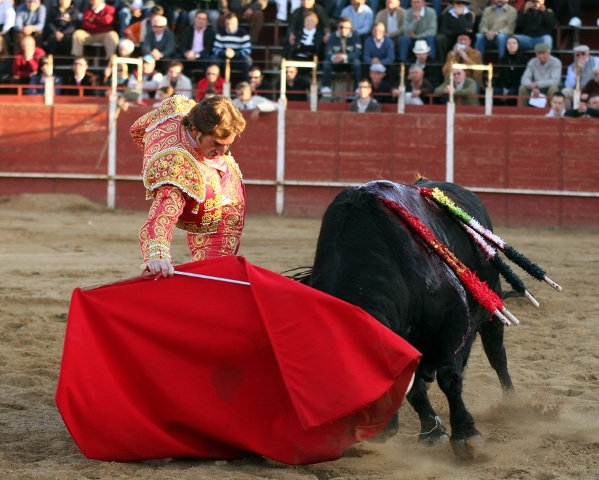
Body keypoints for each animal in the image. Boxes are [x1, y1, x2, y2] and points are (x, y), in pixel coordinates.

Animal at [304, 179, 516, 458]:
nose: (367, 434)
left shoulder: (454, 322)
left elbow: (449, 376)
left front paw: (467, 435)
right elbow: (414, 388)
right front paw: (432, 432)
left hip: (491, 303)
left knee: (497, 355)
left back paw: (512, 403)